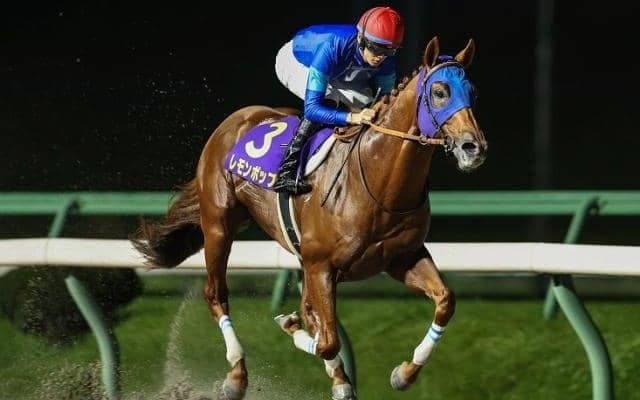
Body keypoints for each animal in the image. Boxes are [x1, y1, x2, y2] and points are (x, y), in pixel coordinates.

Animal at [131, 36, 487, 400]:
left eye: (472, 91)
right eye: (440, 91)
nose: (473, 147)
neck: (379, 183)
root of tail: (235, 120)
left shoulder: (401, 257)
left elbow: (445, 301)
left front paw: (404, 372)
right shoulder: (321, 265)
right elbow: (327, 341)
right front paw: (294, 329)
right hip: (218, 226)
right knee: (216, 294)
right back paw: (236, 375)